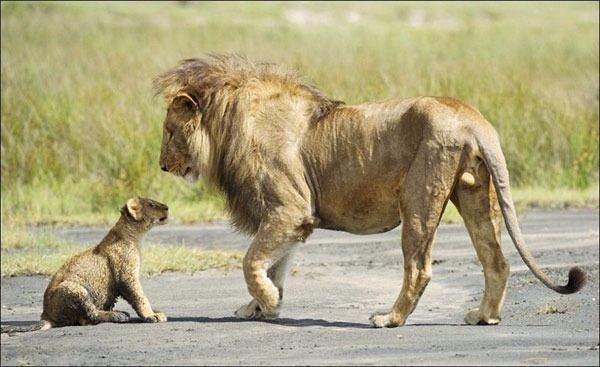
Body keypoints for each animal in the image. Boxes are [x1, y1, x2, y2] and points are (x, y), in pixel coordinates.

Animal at [152, 54, 584, 328]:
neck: (228, 123)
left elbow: (251, 261)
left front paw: (269, 303)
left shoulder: (289, 209)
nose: (161, 166)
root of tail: (471, 117)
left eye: (170, 133)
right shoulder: (293, 220)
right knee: (496, 260)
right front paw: (257, 306)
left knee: (419, 268)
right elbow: (274, 265)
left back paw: (389, 319)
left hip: (419, 200)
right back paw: (484, 316)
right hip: (477, 195)